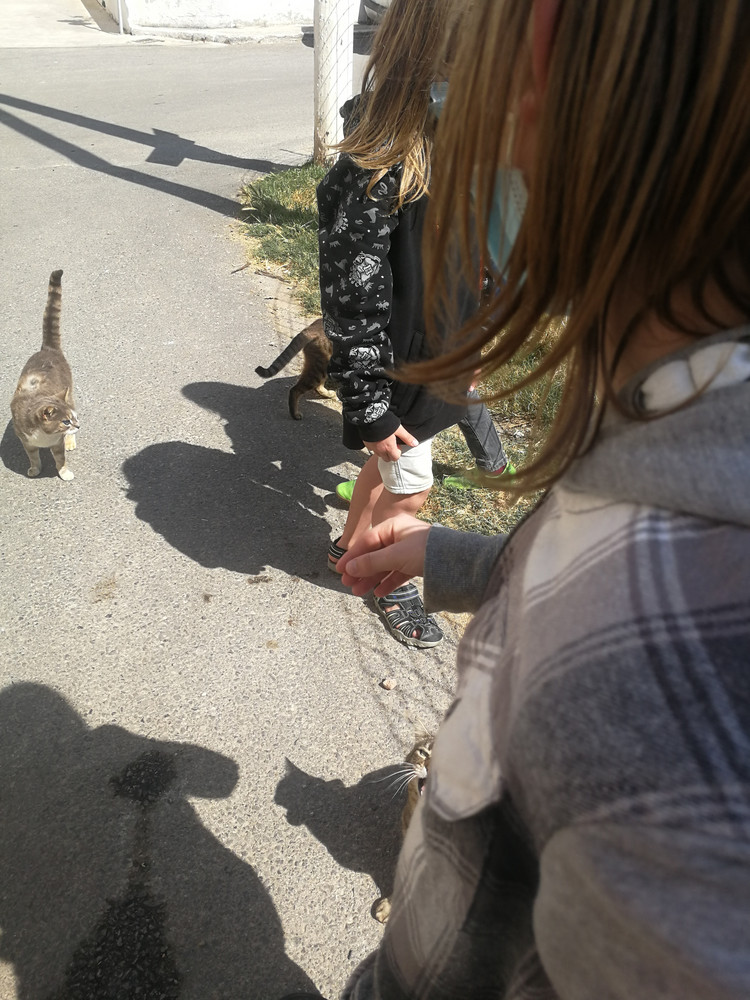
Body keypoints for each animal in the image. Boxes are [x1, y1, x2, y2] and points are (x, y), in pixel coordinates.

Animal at [10, 269, 79, 481]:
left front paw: (64, 472)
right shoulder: (26, 440)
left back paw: (71, 440)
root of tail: (47, 349)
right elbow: (33, 457)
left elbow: (60, 458)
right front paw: (34, 469)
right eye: (65, 421)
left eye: (72, 419)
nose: (77, 425)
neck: (44, 437)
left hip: (69, 392)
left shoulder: (57, 443)